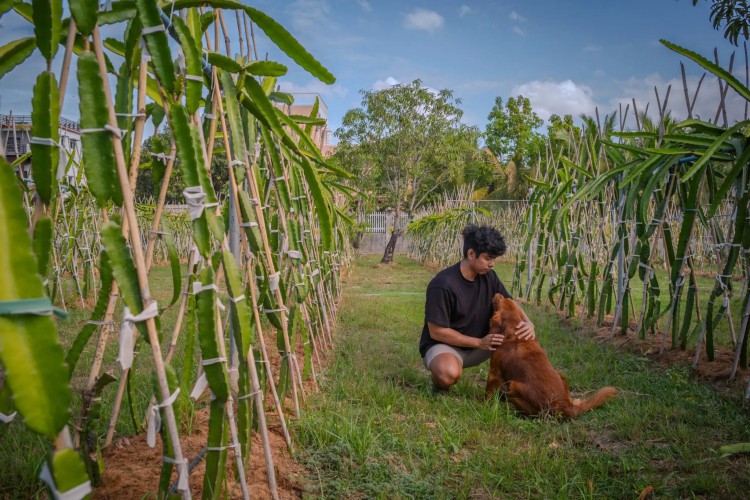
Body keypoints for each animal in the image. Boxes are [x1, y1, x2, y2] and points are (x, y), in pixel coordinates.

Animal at [488, 292, 616, 418]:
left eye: (501, 300)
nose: (497, 293)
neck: (514, 331)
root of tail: (565, 407)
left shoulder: (494, 372)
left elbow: (488, 394)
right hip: (561, 375)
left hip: (513, 385)